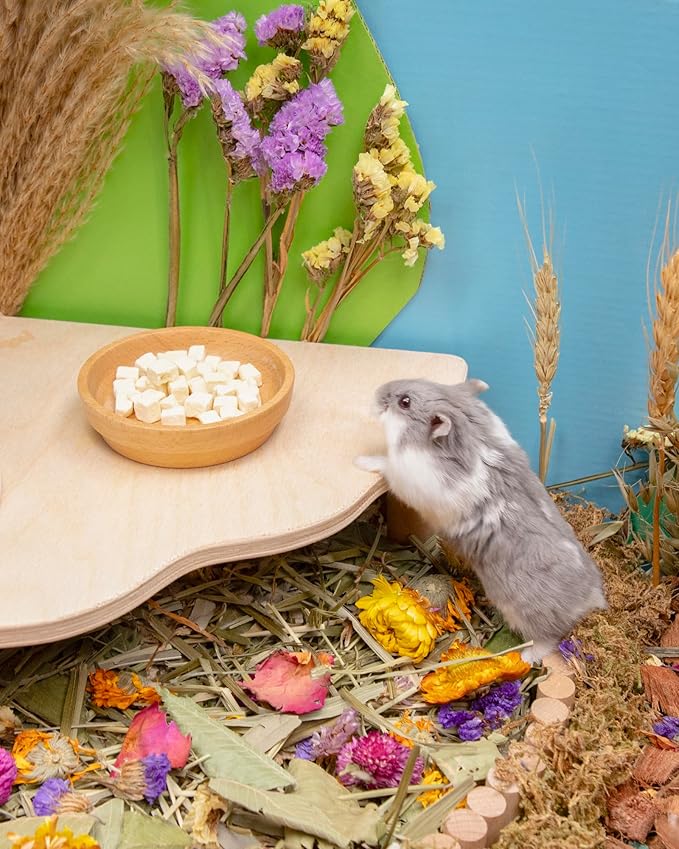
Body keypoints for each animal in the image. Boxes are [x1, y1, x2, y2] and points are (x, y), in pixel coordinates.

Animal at [354, 378, 607, 664]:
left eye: (404, 402)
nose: (377, 392)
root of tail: (590, 597)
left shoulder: (408, 478)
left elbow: (385, 464)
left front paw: (360, 461)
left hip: (531, 616)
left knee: (548, 639)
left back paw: (525, 657)